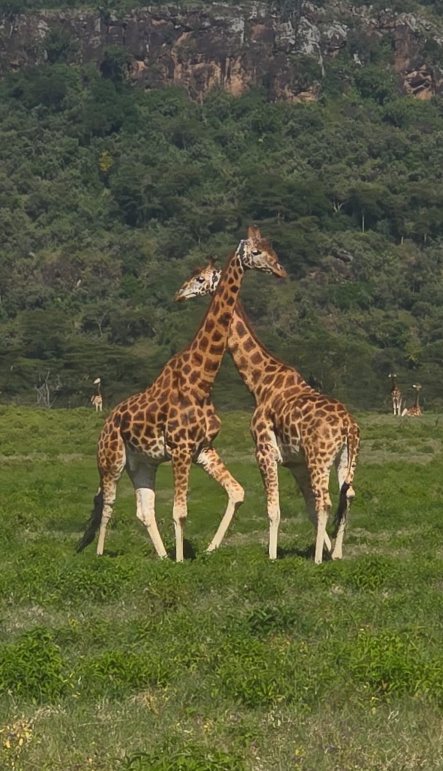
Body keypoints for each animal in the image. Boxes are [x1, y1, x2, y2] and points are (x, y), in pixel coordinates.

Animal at [76, 228, 287, 562]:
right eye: (256, 251)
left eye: (268, 248)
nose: (280, 270)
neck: (201, 381)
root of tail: (106, 424)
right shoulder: (180, 449)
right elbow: (179, 511)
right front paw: (180, 561)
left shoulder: (202, 448)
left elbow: (235, 492)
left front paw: (202, 552)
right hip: (111, 461)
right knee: (107, 506)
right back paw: (99, 556)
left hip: (142, 463)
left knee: (143, 510)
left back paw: (161, 556)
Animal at [175, 260, 360, 564]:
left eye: (199, 278)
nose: (179, 294)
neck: (259, 382)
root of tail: (349, 426)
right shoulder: (296, 462)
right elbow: (308, 508)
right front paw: (328, 549)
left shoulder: (264, 451)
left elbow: (273, 508)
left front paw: (272, 556)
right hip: (346, 459)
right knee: (348, 495)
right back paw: (338, 555)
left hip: (320, 458)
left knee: (327, 501)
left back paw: (317, 560)